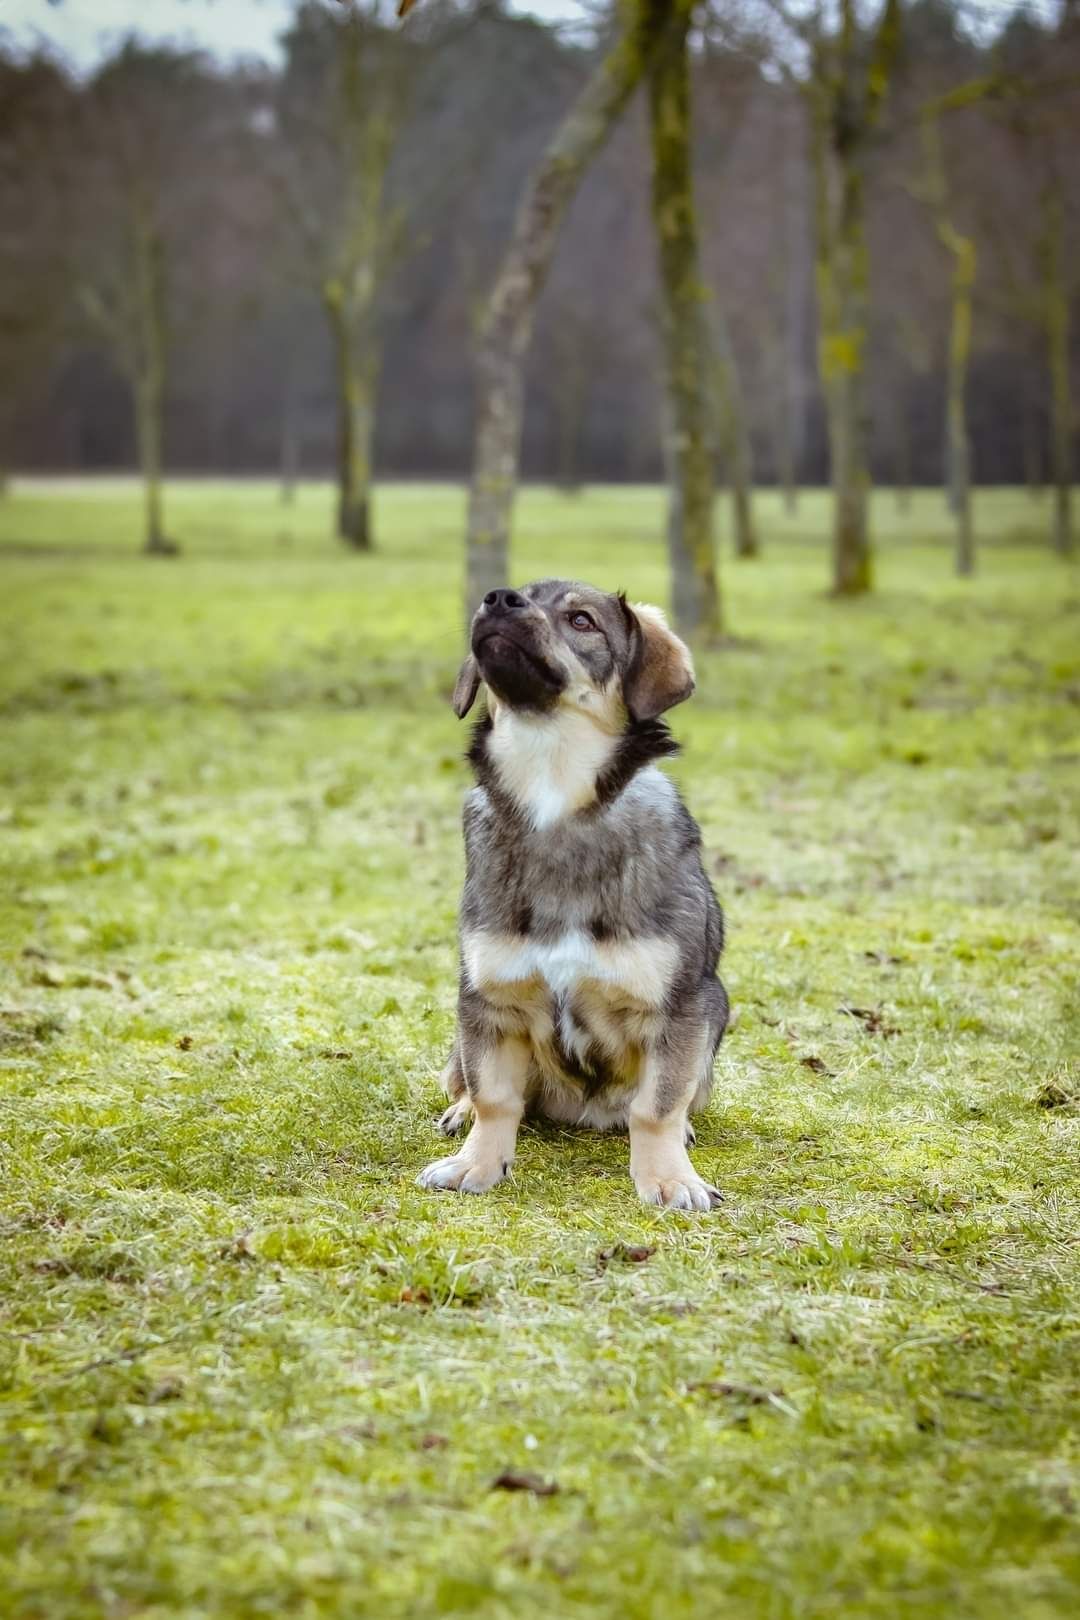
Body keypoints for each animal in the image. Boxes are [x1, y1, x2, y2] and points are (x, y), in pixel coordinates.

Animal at [417, 586, 731, 1218]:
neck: (553, 798)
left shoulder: (681, 1008)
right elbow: (494, 1098)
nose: (497, 598)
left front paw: (667, 1178)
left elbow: (656, 1107)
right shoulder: (487, 1001)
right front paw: (475, 1163)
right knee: (465, 1081)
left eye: (582, 619)